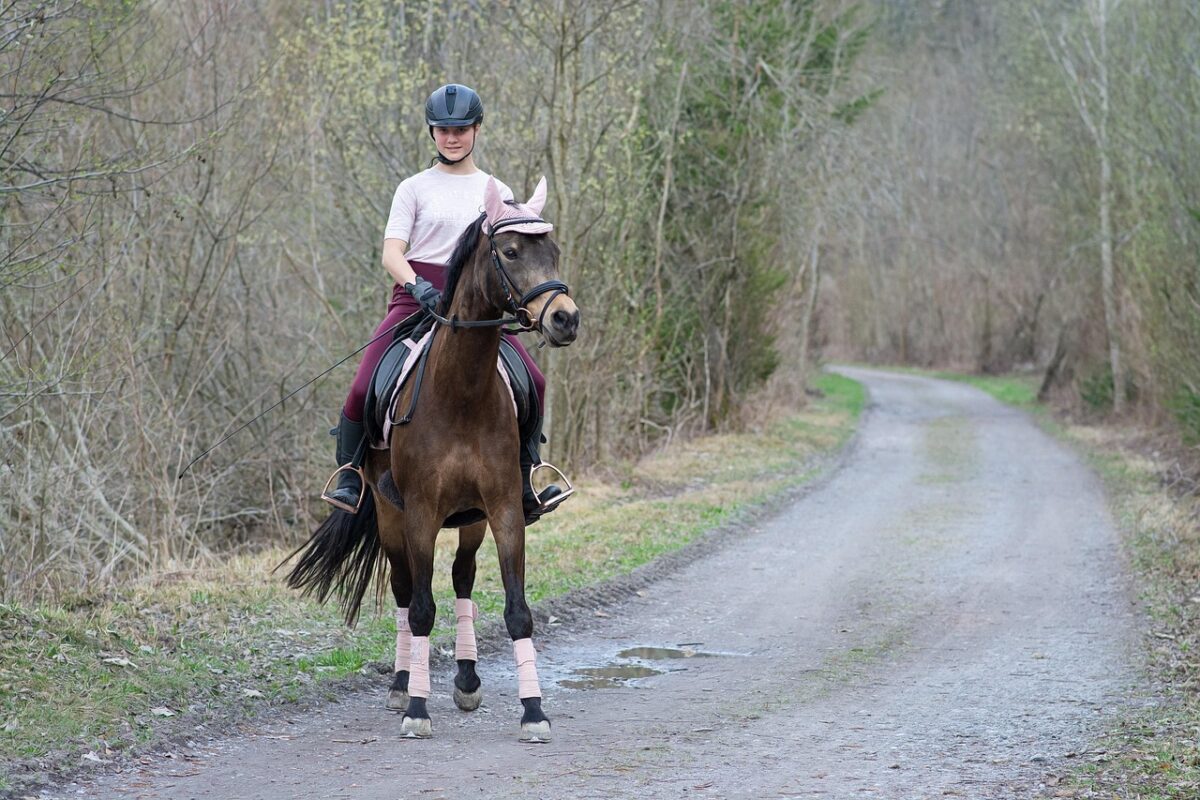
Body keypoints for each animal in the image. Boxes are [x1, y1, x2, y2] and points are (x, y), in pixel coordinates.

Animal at [282, 177, 579, 742]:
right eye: (511, 252)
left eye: (554, 251)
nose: (565, 319)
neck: (462, 391)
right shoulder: (419, 512)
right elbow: (420, 609)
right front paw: (417, 708)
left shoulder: (504, 509)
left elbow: (517, 612)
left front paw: (533, 711)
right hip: (388, 512)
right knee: (404, 590)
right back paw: (402, 685)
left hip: (472, 518)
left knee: (462, 577)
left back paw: (466, 679)